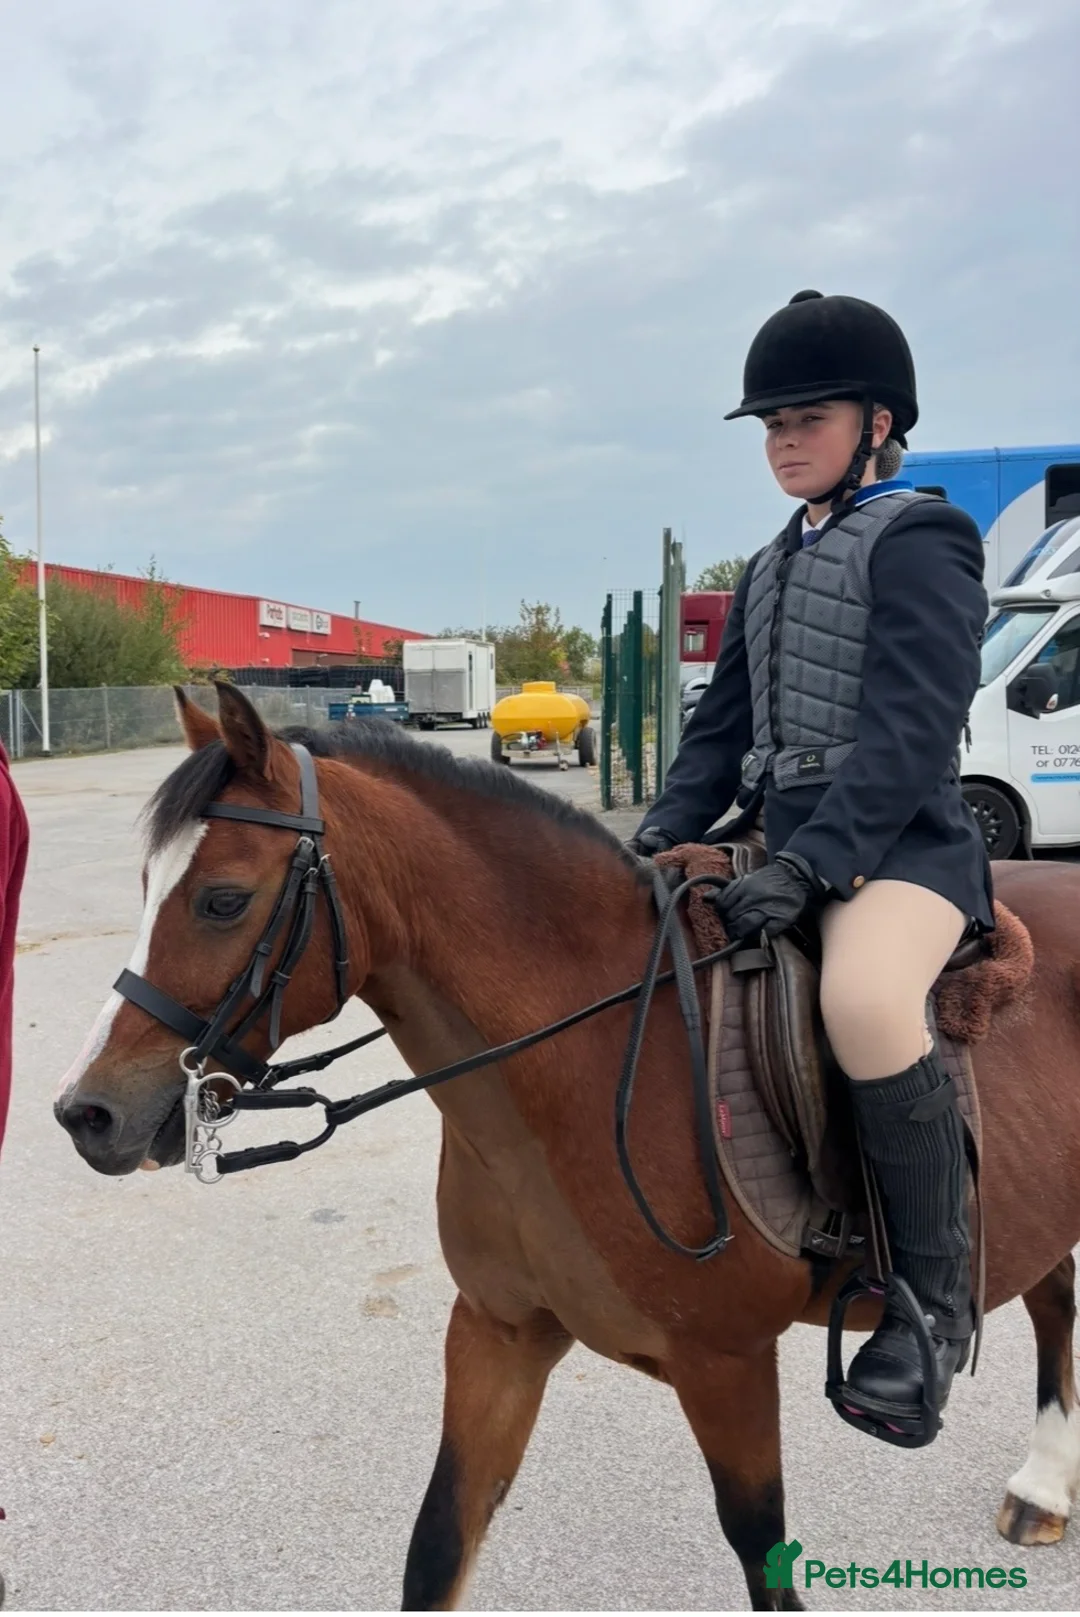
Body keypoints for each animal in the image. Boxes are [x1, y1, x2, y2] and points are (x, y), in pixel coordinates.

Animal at [55, 684, 1080, 1610]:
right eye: (147, 888)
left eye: (223, 900)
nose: (86, 1113)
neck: (589, 1058)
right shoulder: (497, 1332)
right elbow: (438, 1542)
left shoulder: (729, 1364)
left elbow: (763, 1554)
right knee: (1054, 1298)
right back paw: (1042, 1488)